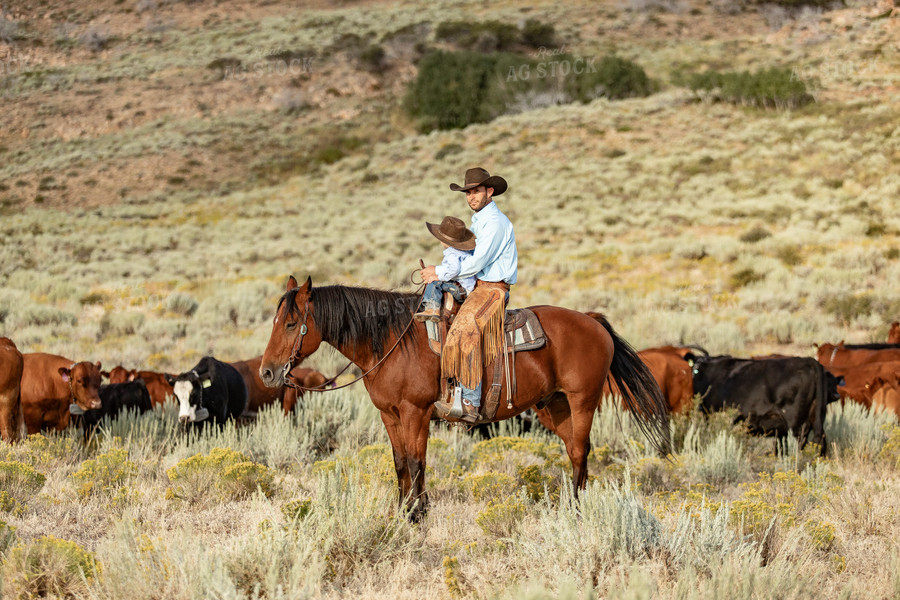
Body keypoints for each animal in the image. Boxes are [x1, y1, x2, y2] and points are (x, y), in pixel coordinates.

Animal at [260, 276, 668, 520]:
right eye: (275, 321)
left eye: (292, 324)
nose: (266, 373)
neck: (392, 342)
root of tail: (592, 321)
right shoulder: (389, 415)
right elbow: (400, 464)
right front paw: (401, 511)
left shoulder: (415, 413)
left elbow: (416, 463)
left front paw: (416, 515)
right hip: (554, 406)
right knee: (573, 452)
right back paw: (568, 504)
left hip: (582, 400)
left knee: (582, 451)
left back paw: (577, 510)